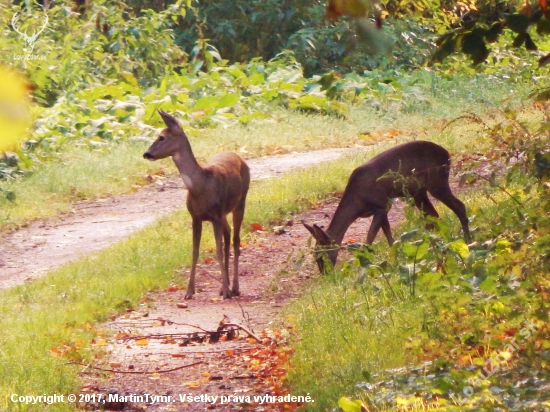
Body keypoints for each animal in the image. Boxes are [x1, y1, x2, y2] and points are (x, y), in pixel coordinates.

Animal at [144, 112, 252, 300]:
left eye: (162, 137)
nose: (147, 153)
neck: (201, 186)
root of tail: (237, 156)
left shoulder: (215, 216)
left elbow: (217, 250)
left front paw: (226, 291)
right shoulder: (196, 217)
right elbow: (195, 251)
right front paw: (189, 292)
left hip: (240, 201)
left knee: (236, 239)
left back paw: (234, 288)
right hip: (223, 213)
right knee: (228, 234)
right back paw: (225, 287)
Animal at [304, 141, 472, 274]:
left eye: (321, 255)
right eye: (315, 254)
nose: (325, 273)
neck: (357, 201)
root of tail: (447, 154)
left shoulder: (381, 204)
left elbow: (370, 239)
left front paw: (365, 262)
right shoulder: (383, 208)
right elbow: (388, 234)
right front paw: (396, 258)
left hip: (437, 182)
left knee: (459, 206)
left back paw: (467, 240)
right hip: (419, 192)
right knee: (433, 217)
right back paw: (439, 245)